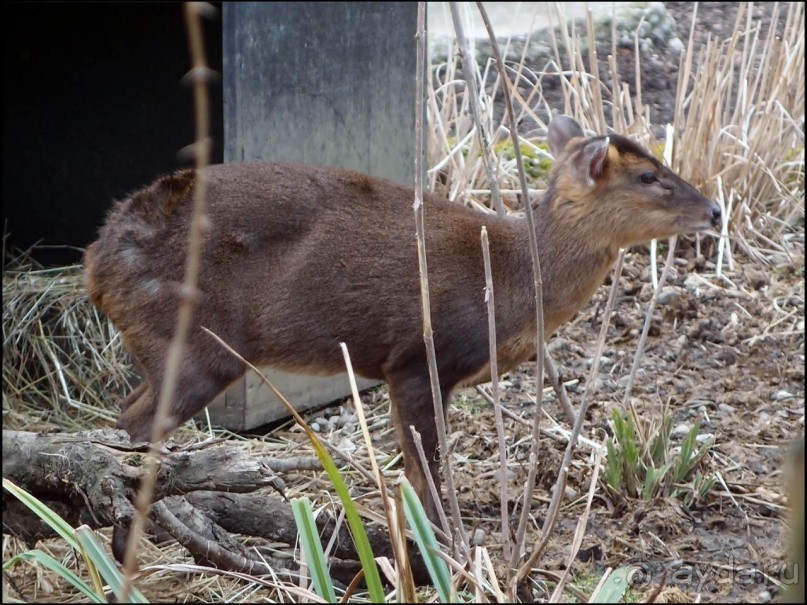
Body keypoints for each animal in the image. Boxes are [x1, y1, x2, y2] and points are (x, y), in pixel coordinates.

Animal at [87, 114, 720, 528]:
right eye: (648, 177)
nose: (715, 209)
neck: (511, 280)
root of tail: (97, 261)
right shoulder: (420, 357)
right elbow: (426, 463)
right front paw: (444, 533)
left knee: (123, 418)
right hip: (194, 344)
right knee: (132, 428)